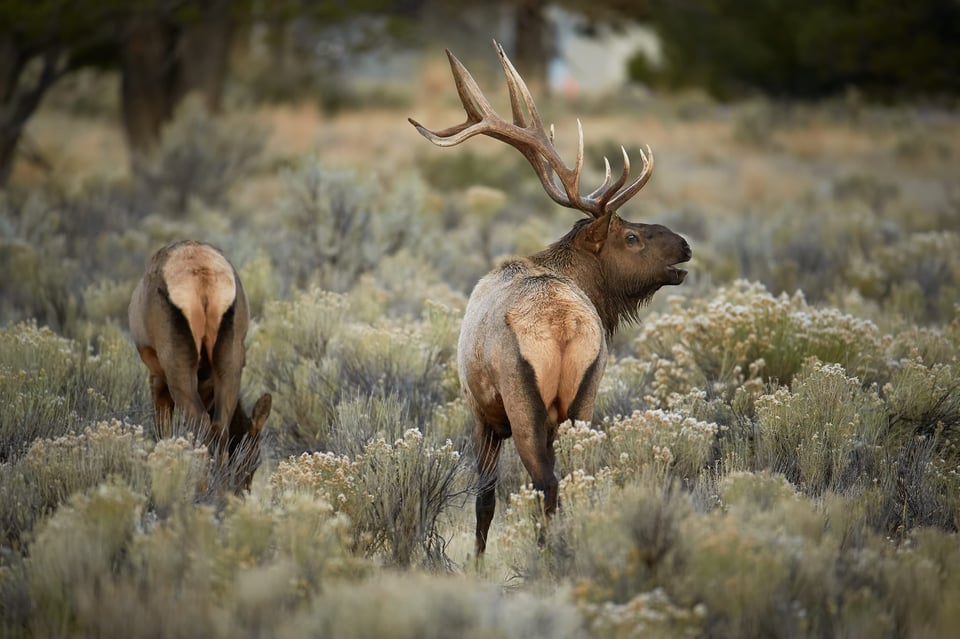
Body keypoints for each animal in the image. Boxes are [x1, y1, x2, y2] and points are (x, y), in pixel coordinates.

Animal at [129, 241, 272, 496]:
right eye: (254, 459)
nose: (242, 492)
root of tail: (203, 281)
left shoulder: (157, 377)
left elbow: (163, 432)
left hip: (178, 368)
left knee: (202, 425)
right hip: (230, 359)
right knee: (219, 427)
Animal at [408, 42, 692, 556]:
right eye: (633, 237)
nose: (685, 245)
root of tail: (563, 329)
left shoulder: (480, 412)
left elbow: (485, 499)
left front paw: (477, 561)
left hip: (523, 405)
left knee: (545, 482)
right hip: (584, 399)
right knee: (572, 479)